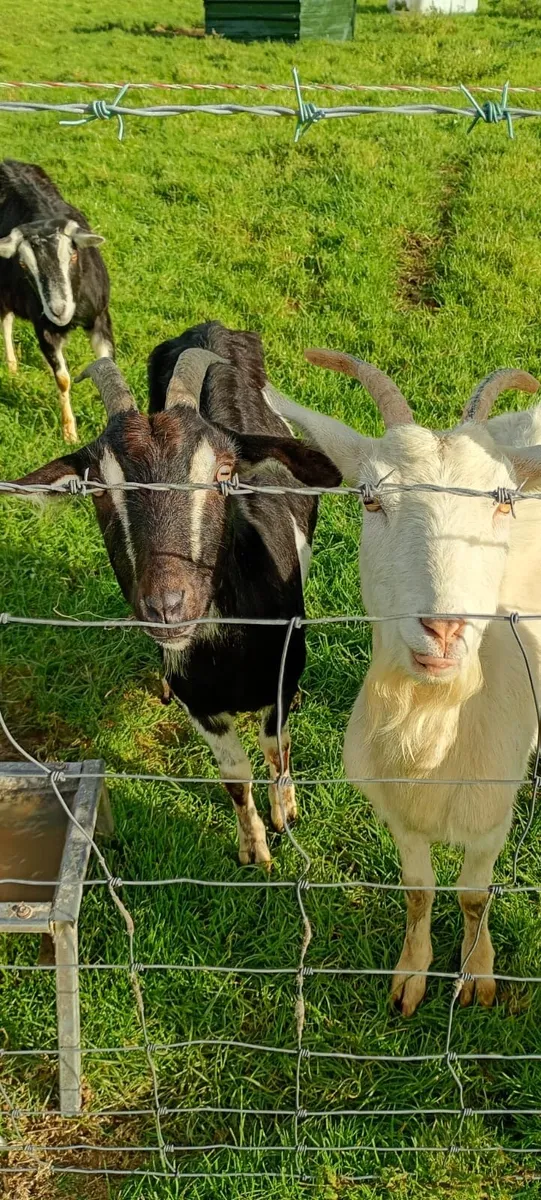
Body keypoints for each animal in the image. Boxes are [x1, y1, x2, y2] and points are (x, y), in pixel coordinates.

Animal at [0, 159, 114, 443]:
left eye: (73, 256)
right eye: (23, 264)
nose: (58, 310)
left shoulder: (100, 316)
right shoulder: (44, 327)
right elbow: (62, 378)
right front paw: (69, 433)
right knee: (5, 320)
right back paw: (12, 366)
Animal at [11, 322, 341, 866]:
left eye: (224, 474)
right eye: (98, 490)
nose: (167, 607)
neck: (230, 654)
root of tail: (211, 329)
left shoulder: (282, 675)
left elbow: (276, 749)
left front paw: (286, 814)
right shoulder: (198, 701)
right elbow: (234, 775)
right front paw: (253, 850)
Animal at [267, 354, 541, 1011]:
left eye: (504, 506)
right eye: (370, 500)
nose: (443, 628)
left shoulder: (492, 817)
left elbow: (474, 896)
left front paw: (477, 975)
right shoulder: (398, 814)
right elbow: (419, 891)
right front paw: (411, 978)